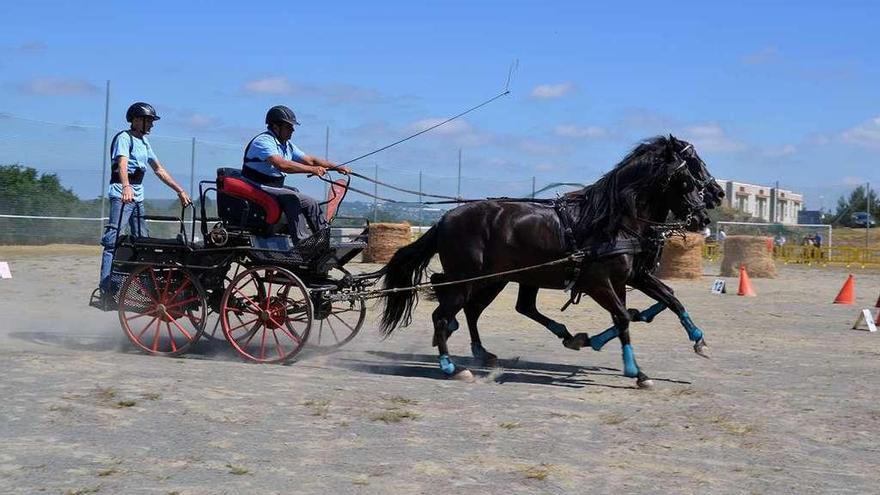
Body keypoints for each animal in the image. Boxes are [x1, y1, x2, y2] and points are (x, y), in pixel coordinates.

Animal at [382, 136, 712, 388]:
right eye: (688, 175)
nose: (704, 215)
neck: (613, 222)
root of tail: (445, 219)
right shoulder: (598, 283)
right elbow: (622, 317)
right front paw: (637, 372)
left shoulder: (630, 276)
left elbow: (667, 299)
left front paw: (698, 340)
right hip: (470, 280)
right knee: (444, 314)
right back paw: (452, 367)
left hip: (496, 279)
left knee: (484, 309)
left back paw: (487, 350)